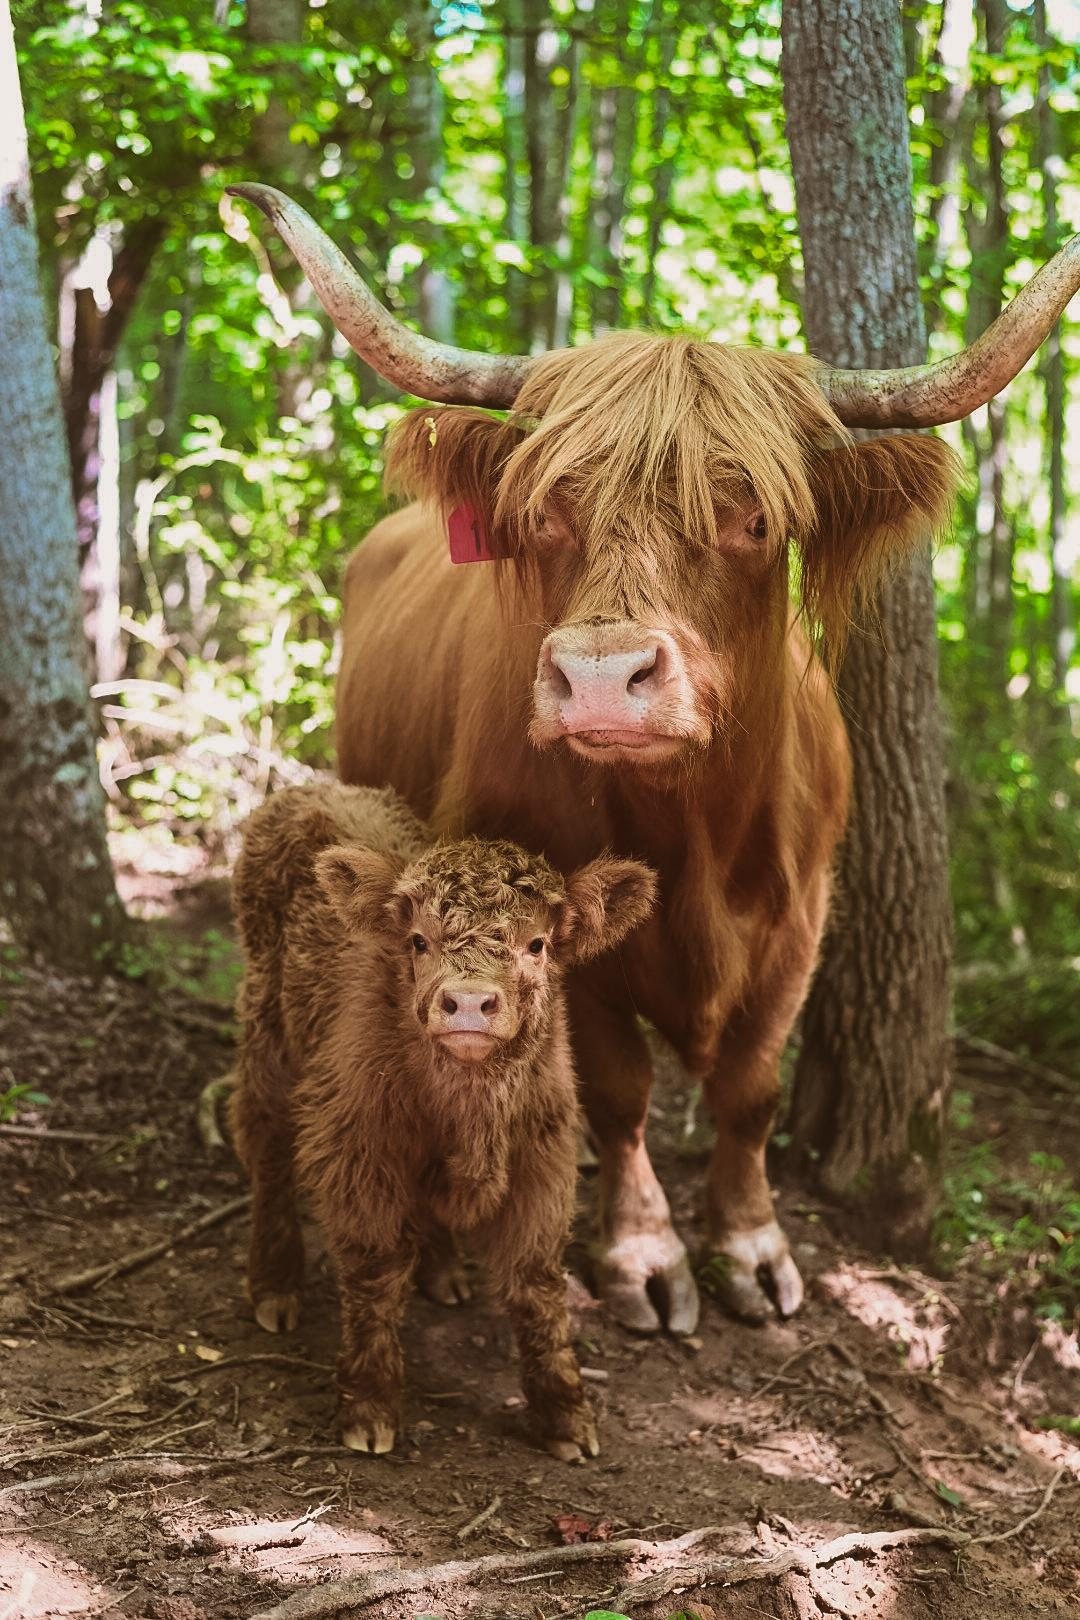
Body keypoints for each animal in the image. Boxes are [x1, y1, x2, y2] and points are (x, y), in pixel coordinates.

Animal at [228, 182, 1080, 1335]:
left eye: (755, 517)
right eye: (545, 512)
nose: (599, 676)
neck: (698, 833)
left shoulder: (803, 915)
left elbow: (751, 1089)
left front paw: (752, 1244)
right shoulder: (557, 924)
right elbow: (620, 1088)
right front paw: (644, 1255)